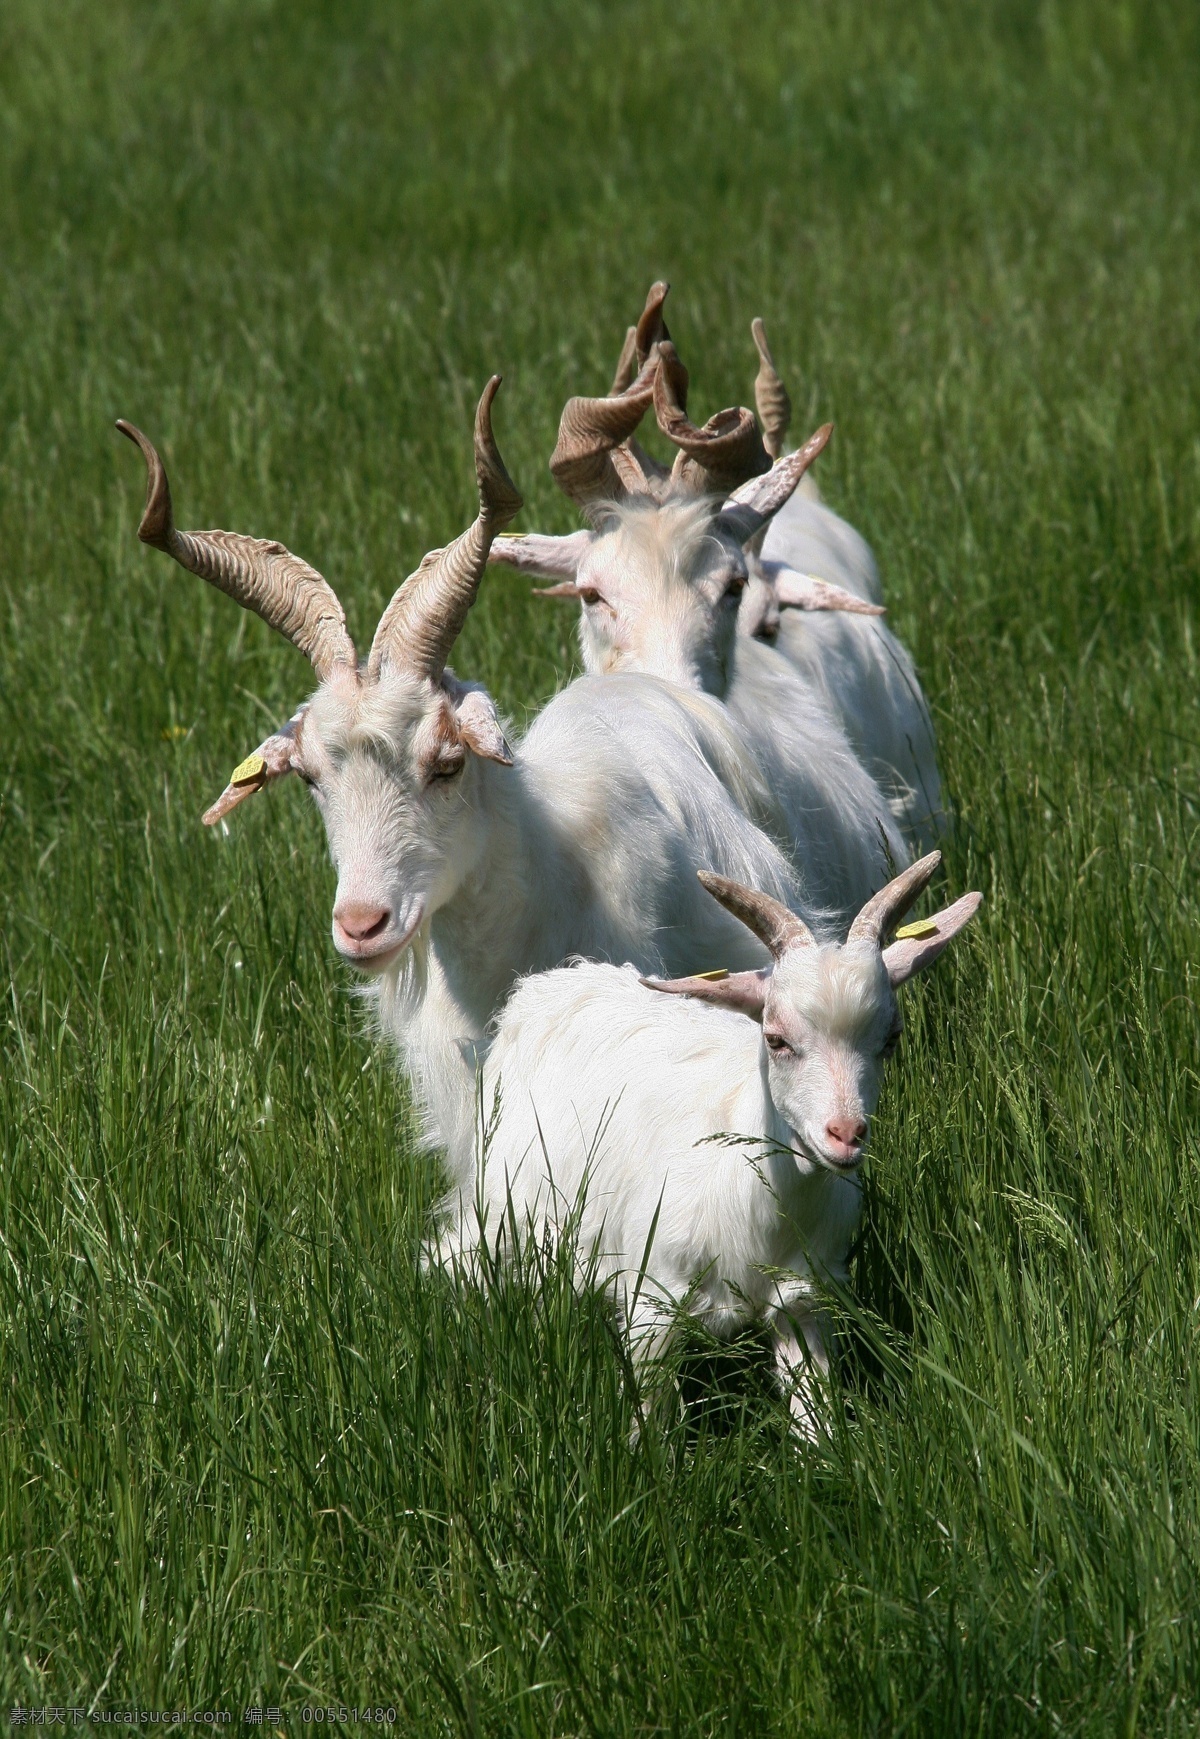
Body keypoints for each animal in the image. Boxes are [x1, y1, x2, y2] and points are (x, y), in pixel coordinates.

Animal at [434, 848, 973, 1432]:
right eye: (776, 1039)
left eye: (890, 1039)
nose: (846, 1134)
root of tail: (550, 985)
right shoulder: (652, 1301)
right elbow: (651, 1420)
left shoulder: (804, 1301)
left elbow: (815, 1417)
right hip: (503, 1205)